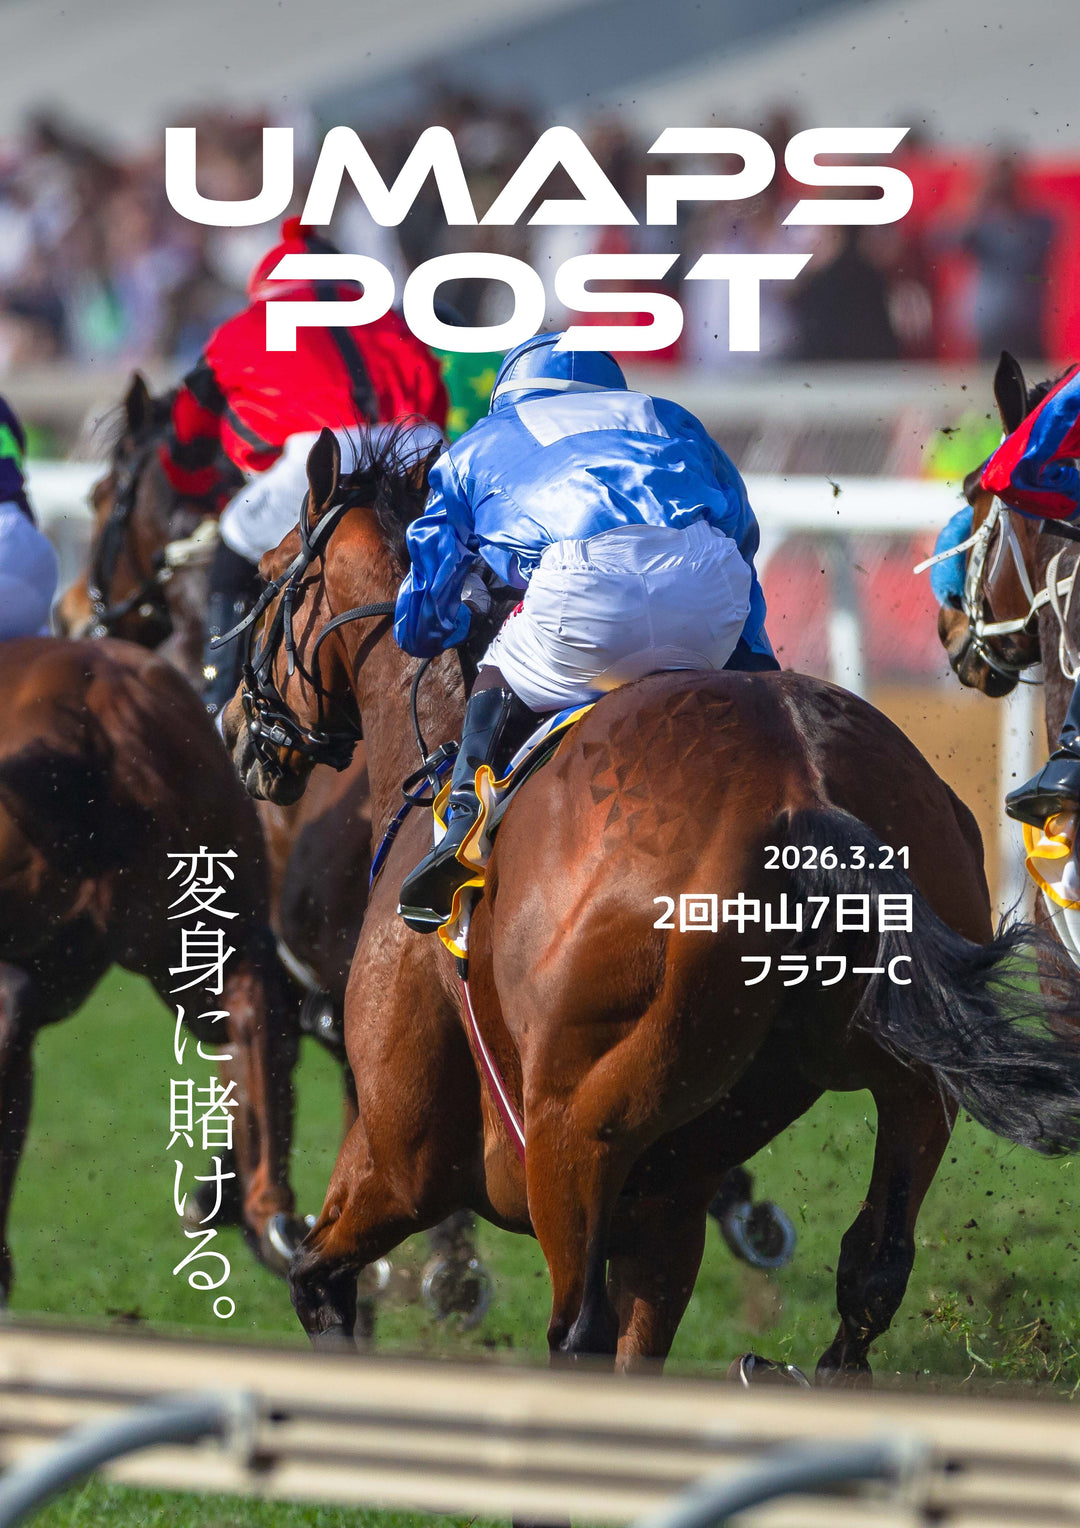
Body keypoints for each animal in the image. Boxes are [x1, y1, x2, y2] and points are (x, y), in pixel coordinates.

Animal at [223, 425, 1080, 1381]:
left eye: (268, 576)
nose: (235, 727)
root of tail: (802, 784)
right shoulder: (662, 1204)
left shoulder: (403, 1153)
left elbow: (318, 1278)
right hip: (909, 1085)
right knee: (873, 1269)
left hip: (574, 1128)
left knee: (577, 1329)